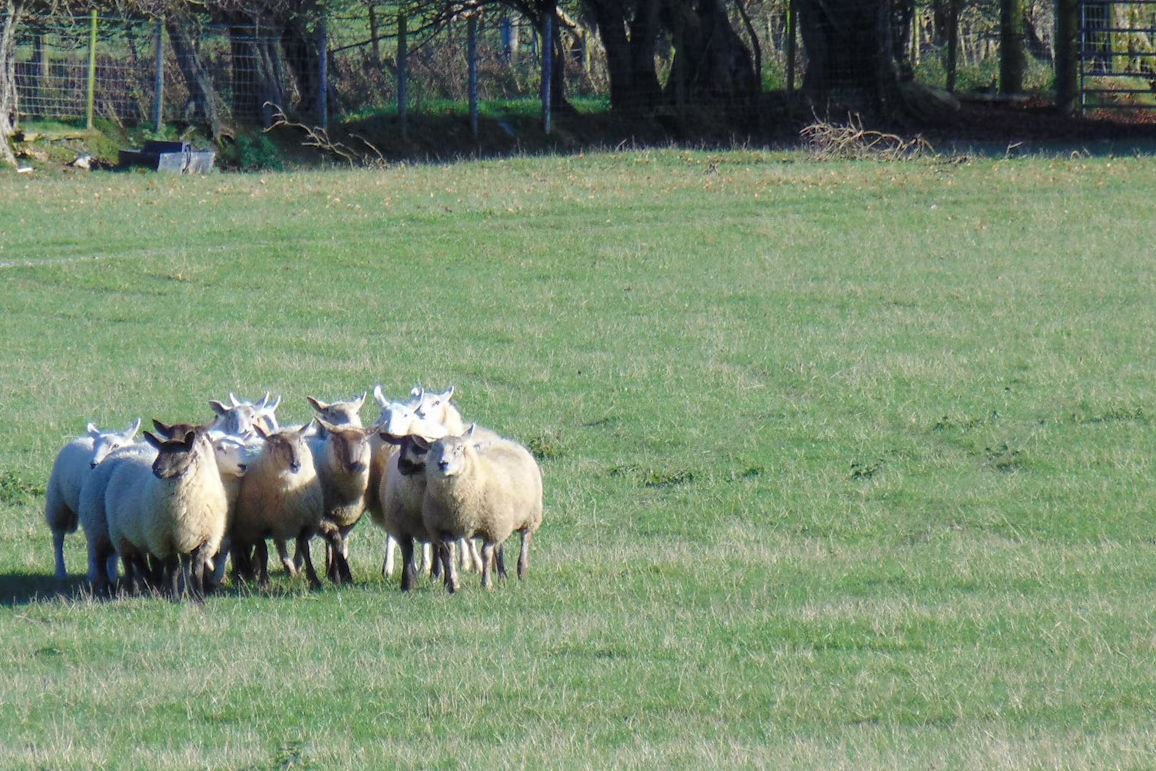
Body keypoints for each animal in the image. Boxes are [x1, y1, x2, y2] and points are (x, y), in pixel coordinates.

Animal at [45, 418, 141, 582]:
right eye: (94, 445)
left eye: (116, 445)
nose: (93, 464)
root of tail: (78, 439)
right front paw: (95, 574)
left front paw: (113, 574)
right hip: (58, 505)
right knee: (58, 539)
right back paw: (61, 572)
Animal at [104, 427, 230, 601]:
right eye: (160, 452)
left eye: (177, 454)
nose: (156, 469)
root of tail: (132, 454)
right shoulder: (164, 540)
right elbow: (173, 569)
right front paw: (175, 596)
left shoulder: (205, 539)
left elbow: (197, 569)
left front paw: (199, 596)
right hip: (121, 536)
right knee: (129, 563)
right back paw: (132, 589)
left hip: (145, 538)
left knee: (144, 562)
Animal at [231, 425, 325, 587]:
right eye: (278, 445)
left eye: (300, 442)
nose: (296, 464)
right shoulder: (256, 526)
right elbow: (263, 552)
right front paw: (263, 581)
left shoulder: (305, 524)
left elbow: (305, 550)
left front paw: (314, 580)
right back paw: (242, 575)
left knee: (280, 546)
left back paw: (289, 569)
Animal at [418, 425, 543, 596]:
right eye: (433, 448)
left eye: (458, 448)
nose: (442, 463)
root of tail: (506, 441)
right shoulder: (443, 529)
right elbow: (450, 553)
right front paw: (453, 585)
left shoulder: (491, 527)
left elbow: (486, 553)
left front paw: (486, 583)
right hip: (502, 520)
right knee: (499, 547)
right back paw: (502, 576)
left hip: (528, 518)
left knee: (525, 540)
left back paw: (521, 571)